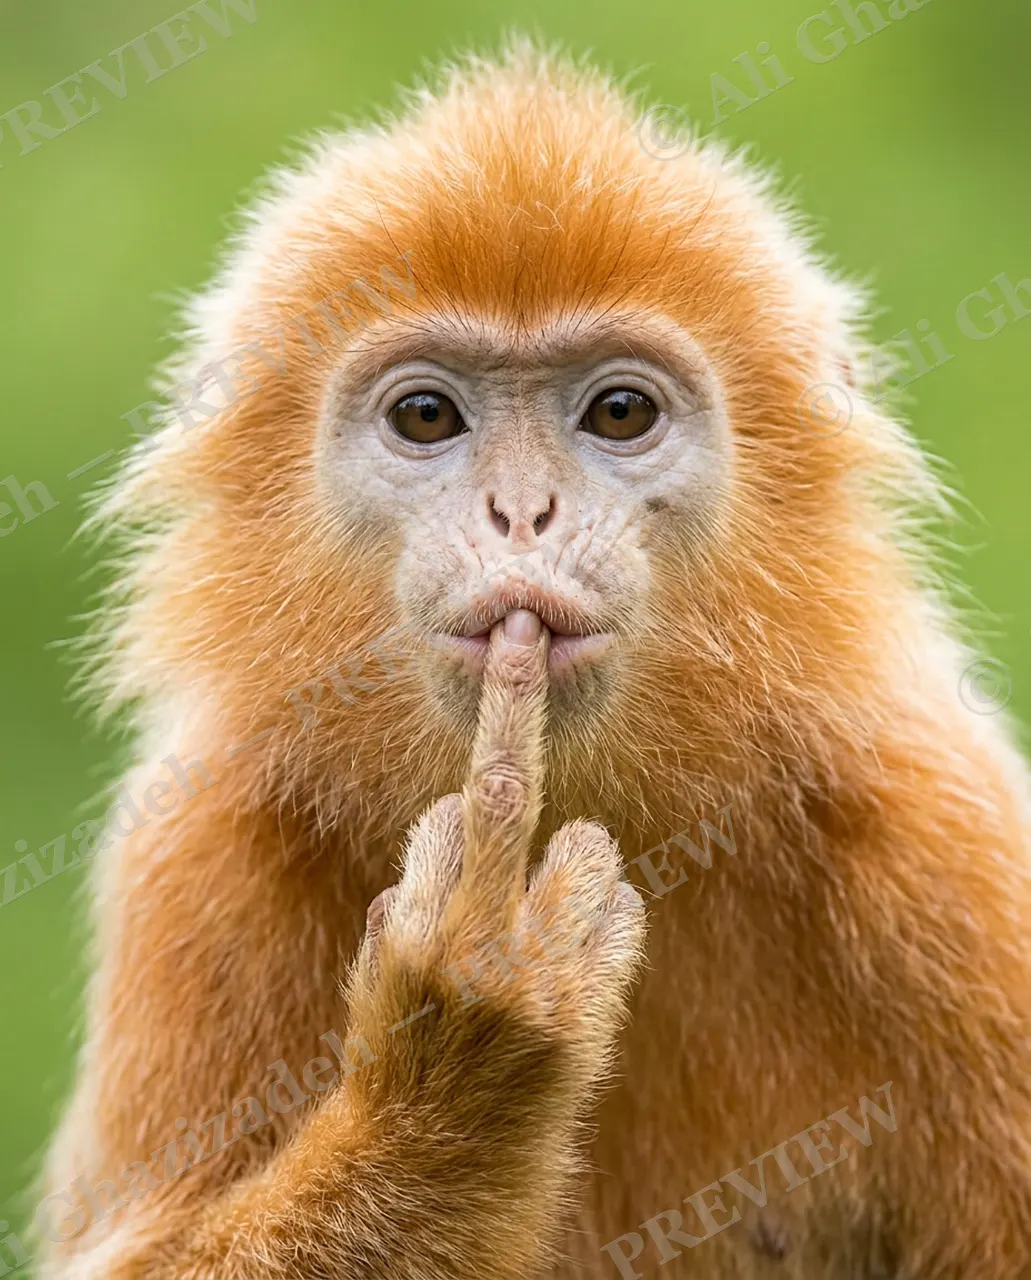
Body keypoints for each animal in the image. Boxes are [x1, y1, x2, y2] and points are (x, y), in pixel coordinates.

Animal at [31, 38, 1031, 1280]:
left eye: (618, 411)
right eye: (424, 415)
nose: (521, 511)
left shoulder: (933, 821)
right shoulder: (201, 846)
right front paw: (460, 1052)